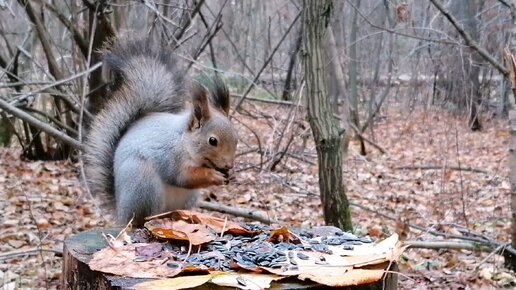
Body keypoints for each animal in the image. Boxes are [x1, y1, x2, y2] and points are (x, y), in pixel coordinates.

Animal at [83, 38, 239, 225]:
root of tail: (121, 213)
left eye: (237, 139)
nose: (229, 165)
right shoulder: (170, 157)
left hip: (187, 198)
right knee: (141, 219)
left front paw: (231, 177)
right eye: (212, 141)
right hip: (144, 185)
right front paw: (213, 176)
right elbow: (183, 177)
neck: (183, 141)